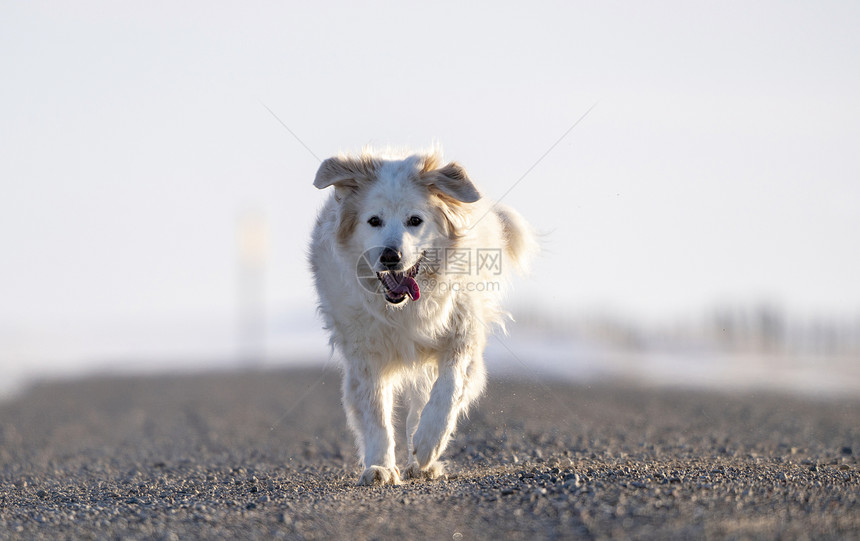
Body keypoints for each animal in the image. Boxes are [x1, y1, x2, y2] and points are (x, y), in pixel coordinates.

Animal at [312, 148, 536, 486]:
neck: (403, 308)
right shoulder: (364, 353)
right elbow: (375, 411)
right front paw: (379, 467)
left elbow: (449, 388)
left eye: (415, 221)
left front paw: (428, 443)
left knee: (426, 396)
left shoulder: (461, 334)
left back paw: (422, 460)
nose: (390, 256)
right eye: (374, 221)